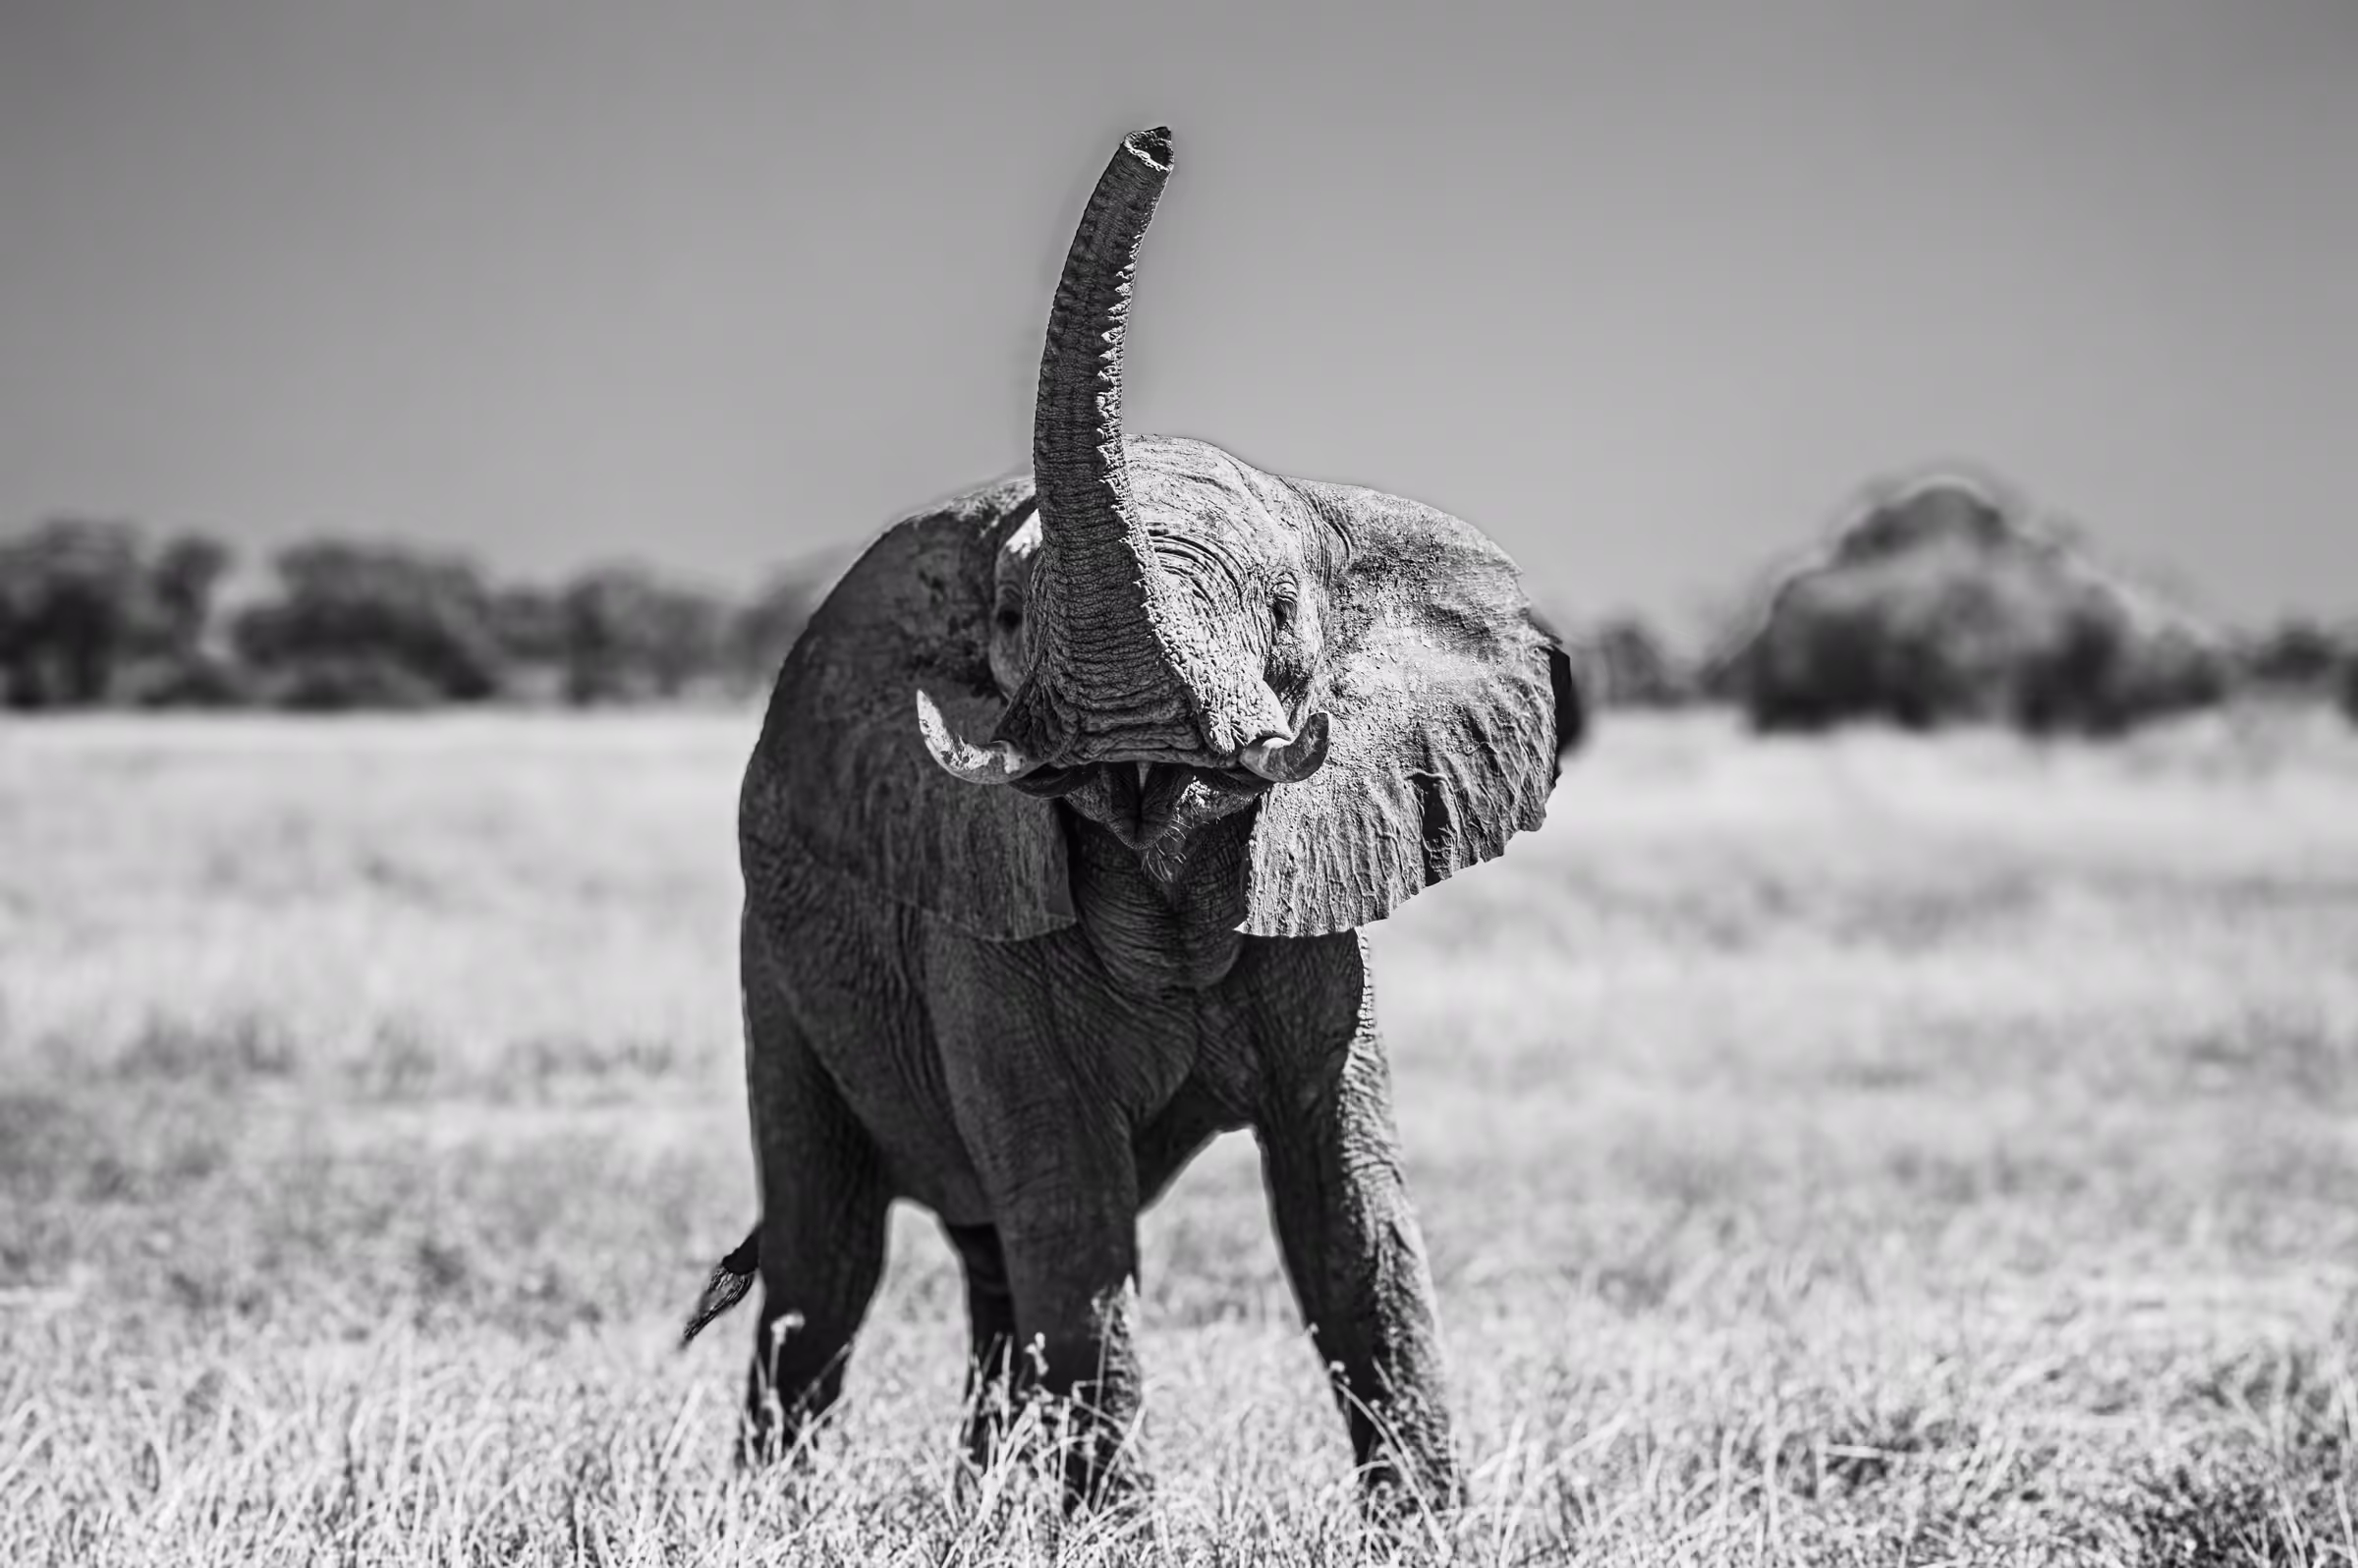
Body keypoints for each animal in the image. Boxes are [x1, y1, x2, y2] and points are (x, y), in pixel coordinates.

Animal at [683, 125, 1577, 1508]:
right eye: (1007, 619)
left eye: (1283, 617)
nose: (1154, 142)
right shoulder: (980, 921)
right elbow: (1075, 1217)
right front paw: (1114, 1531)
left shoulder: (1315, 903)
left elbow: (1348, 1218)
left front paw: (1430, 1530)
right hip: (775, 967)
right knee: (826, 1262)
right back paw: (783, 1511)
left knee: (982, 1267)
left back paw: (986, 1512)